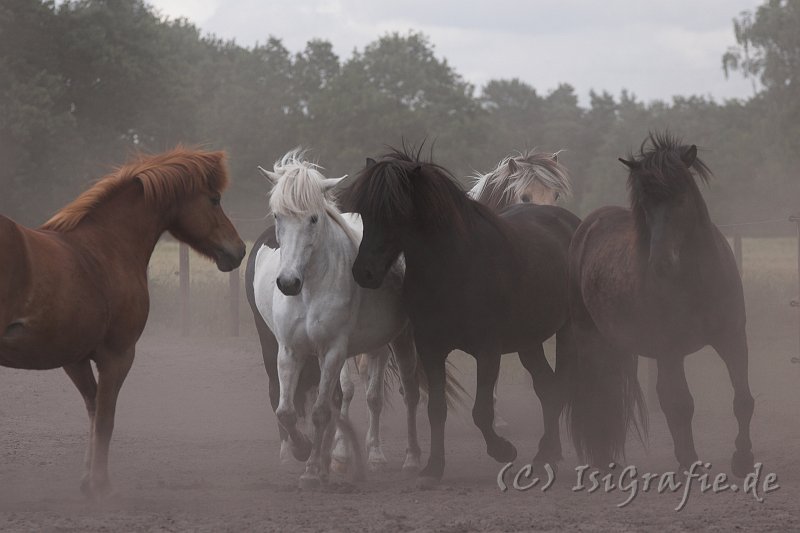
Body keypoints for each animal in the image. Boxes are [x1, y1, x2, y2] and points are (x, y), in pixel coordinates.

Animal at [0, 148, 247, 496]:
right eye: (214, 199)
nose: (238, 250)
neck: (108, 245)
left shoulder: (75, 359)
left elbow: (93, 409)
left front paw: (87, 478)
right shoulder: (118, 356)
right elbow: (106, 419)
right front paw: (100, 484)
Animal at [253, 149, 422, 486]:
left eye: (313, 218)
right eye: (278, 216)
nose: (288, 282)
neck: (311, 289)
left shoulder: (332, 351)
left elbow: (320, 411)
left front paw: (312, 470)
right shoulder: (290, 351)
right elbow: (288, 411)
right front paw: (307, 452)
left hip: (401, 338)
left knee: (408, 392)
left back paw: (408, 458)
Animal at [346, 145, 580, 486]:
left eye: (396, 211)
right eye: (364, 211)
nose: (365, 272)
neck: (455, 262)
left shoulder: (488, 349)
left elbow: (480, 410)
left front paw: (503, 449)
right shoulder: (430, 348)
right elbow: (436, 408)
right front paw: (433, 467)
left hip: (562, 332)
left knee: (556, 386)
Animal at [564, 133, 752, 478]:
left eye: (681, 197)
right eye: (645, 205)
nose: (661, 263)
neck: (698, 281)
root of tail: (587, 227)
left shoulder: (732, 338)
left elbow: (742, 399)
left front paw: (743, 459)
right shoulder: (670, 348)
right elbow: (681, 404)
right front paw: (691, 461)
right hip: (590, 338)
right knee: (598, 393)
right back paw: (602, 460)